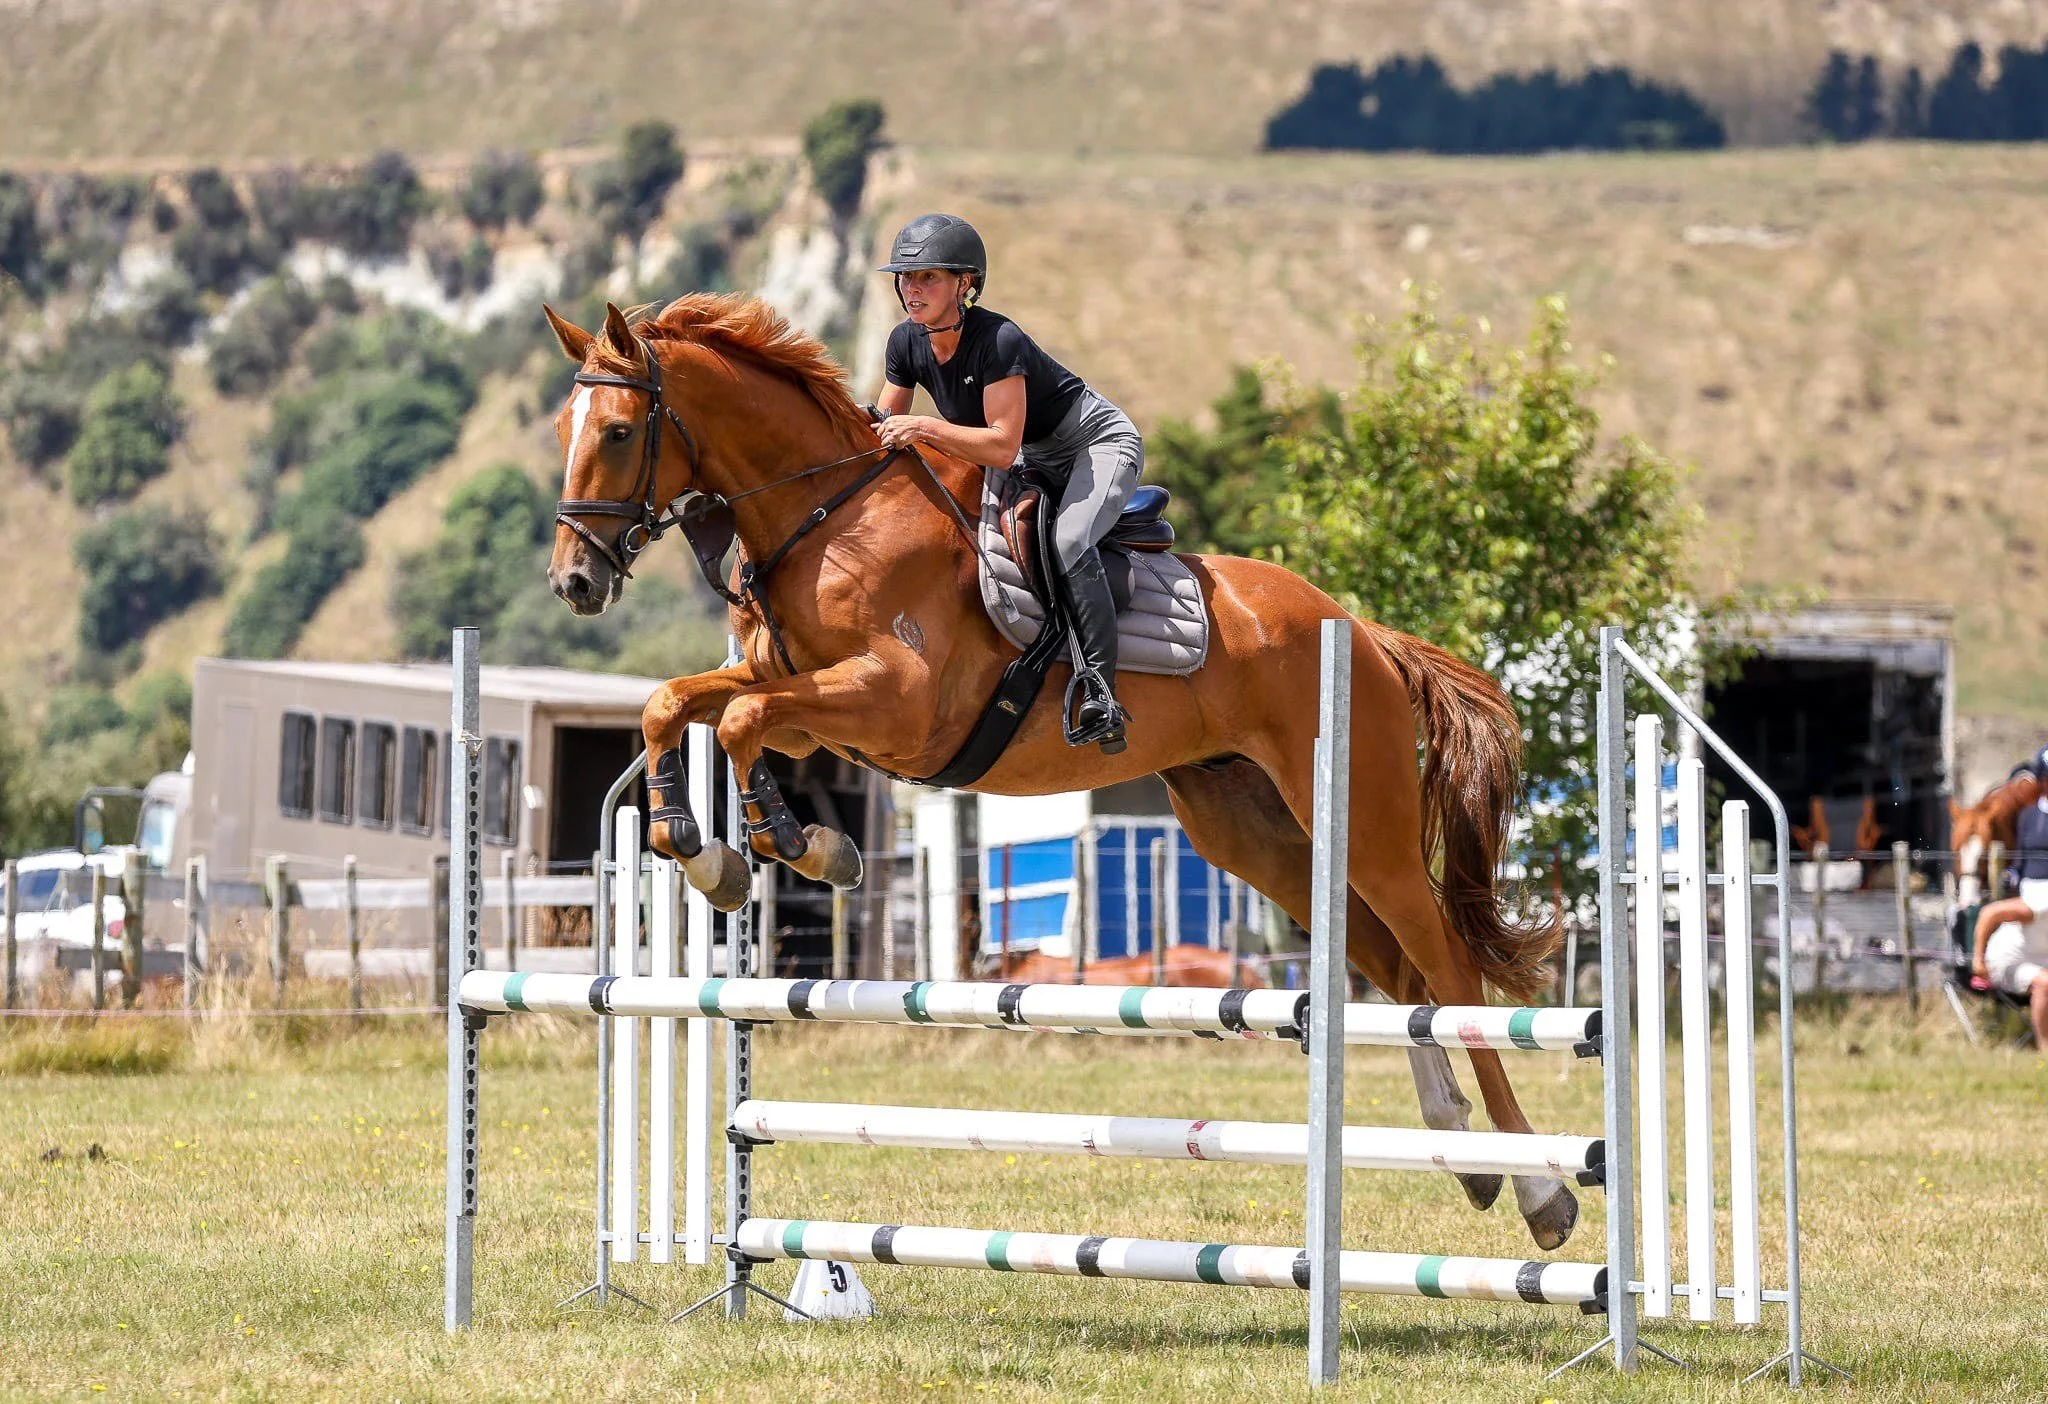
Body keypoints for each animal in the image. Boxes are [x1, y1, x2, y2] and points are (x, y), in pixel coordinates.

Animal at [540, 295, 1576, 1249]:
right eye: (563, 430)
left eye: (620, 430)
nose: (573, 585)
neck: (827, 515)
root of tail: (1360, 628)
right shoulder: (803, 709)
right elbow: (679, 704)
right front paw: (704, 847)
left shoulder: (894, 705)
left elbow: (741, 720)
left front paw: (796, 844)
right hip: (1254, 830)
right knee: (1393, 968)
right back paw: (1466, 1156)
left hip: (1367, 821)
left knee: (1444, 963)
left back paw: (1540, 1190)